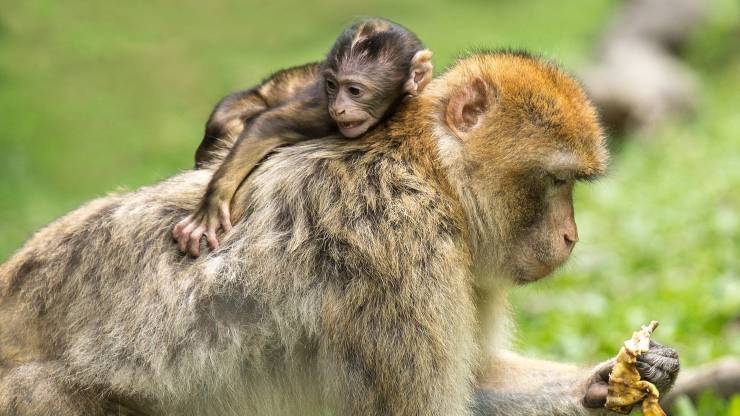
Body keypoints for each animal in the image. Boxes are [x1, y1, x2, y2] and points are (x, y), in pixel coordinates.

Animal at [0, 51, 679, 415]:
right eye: (558, 182)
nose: (570, 237)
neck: (430, 172)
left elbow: (478, 377)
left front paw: (611, 380)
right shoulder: (396, 250)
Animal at [174, 18, 434, 256]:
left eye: (354, 91)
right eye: (331, 86)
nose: (339, 108)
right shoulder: (321, 111)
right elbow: (266, 126)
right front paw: (212, 206)